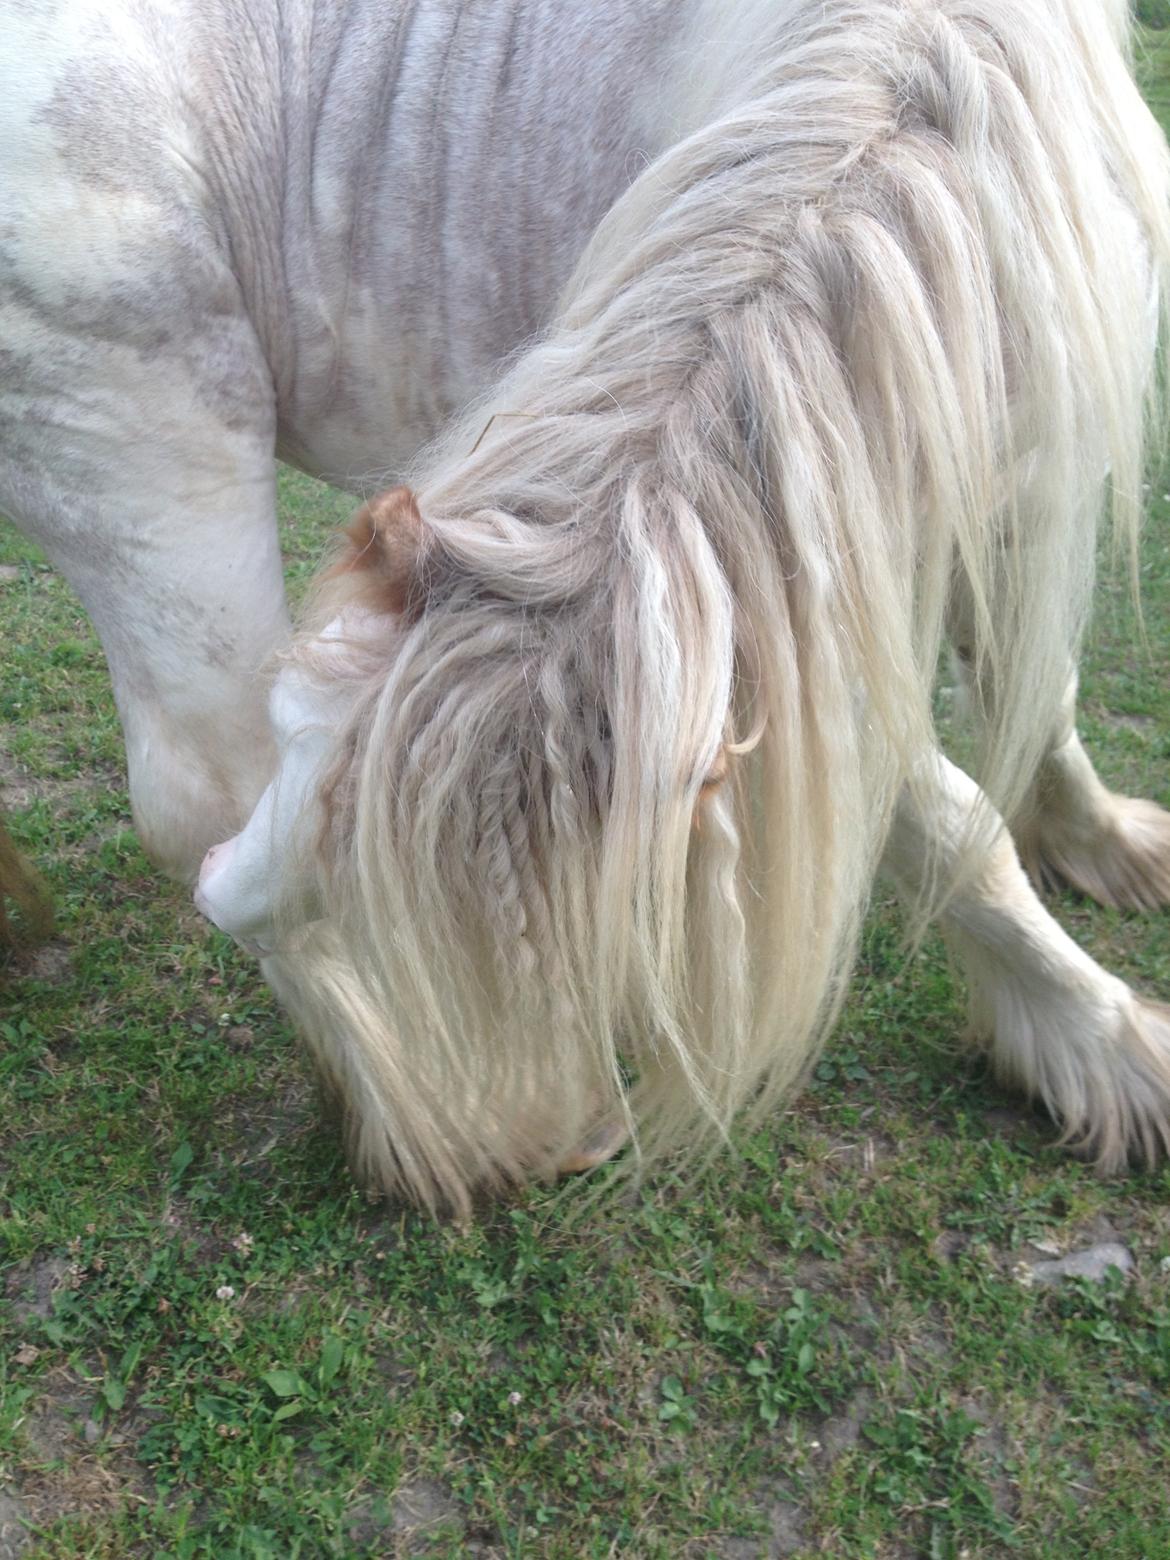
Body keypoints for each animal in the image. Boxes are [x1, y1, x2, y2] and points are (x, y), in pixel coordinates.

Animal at [2, 0, 1170, 1210]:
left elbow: (1044, 694)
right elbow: (949, 826)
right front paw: (1103, 1042)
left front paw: (1102, 843)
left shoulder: (1026, 494)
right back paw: (447, 1130)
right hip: (147, 463)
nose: (221, 901)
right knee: (197, 789)